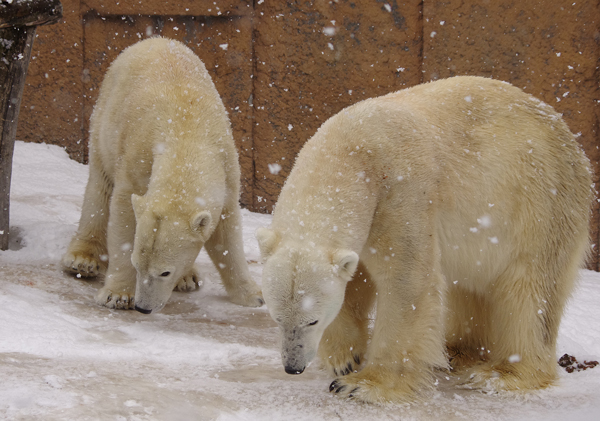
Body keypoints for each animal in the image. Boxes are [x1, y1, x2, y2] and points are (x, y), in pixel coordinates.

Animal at [62, 37, 264, 312]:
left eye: (165, 272)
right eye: (137, 264)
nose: (143, 307)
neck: (186, 134)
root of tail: (155, 39)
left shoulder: (227, 171)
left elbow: (226, 234)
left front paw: (253, 295)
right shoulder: (137, 160)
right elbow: (124, 215)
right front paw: (118, 295)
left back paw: (189, 278)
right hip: (105, 117)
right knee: (99, 186)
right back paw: (82, 260)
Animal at [256, 76, 592, 404]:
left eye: (312, 321)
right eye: (276, 318)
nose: (293, 367)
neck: (352, 153)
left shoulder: (401, 192)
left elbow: (406, 280)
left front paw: (362, 385)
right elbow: (355, 281)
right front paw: (344, 358)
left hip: (539, 202)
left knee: (530, 290)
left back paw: (505, 373)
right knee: (469, 284)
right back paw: (458, 351)